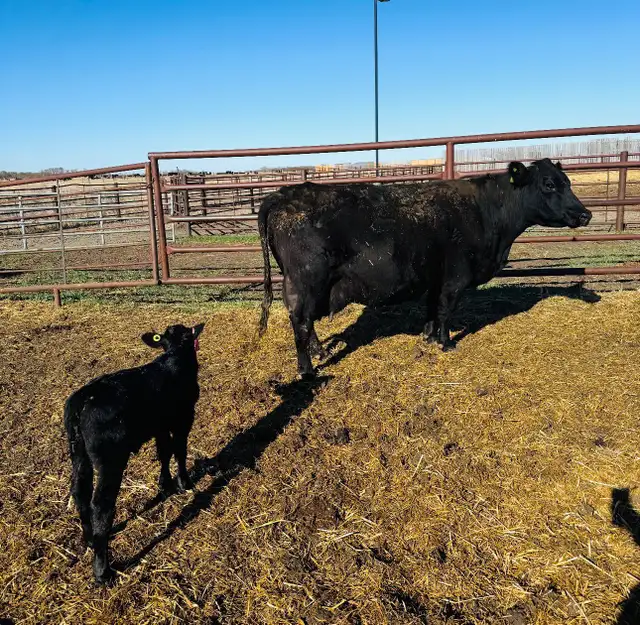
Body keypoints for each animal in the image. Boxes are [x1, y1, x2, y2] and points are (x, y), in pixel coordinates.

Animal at [257, 159, 591, 378]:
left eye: (567, 182)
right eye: (549, 184)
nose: (585, 214)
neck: (488, 213)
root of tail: (284, 193)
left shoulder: (435, 276)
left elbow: (432, 308)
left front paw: (428, 337)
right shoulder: (456, 278)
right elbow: (446, 310)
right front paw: (445, 343)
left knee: (304, 321)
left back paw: (319, 352)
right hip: (308, 281)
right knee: (301, 321)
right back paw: (307, 370)